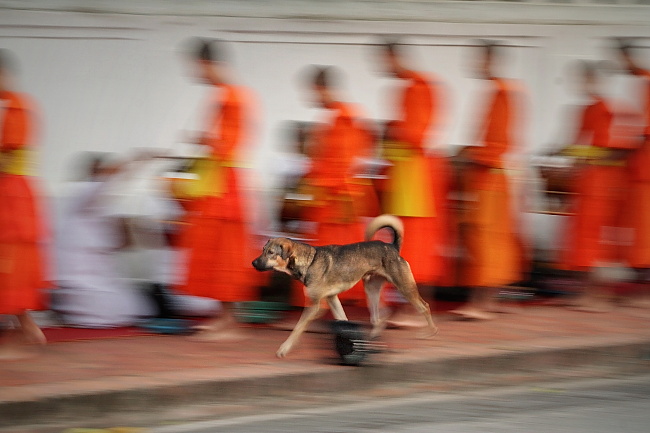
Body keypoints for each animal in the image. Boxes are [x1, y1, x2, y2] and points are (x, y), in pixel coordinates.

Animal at [252, 213, 436, 358]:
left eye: (271, 253)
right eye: (263, 250)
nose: (253, 263)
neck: (309, 261)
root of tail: (392, 246)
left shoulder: (315, 306)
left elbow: (297, 328)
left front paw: (285, 348)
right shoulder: (332, 298)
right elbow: (343, 319)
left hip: (405, 288)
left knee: (425, 306)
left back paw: (431, 333)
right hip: (371, 291)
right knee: (378, 318)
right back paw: (373, 340)